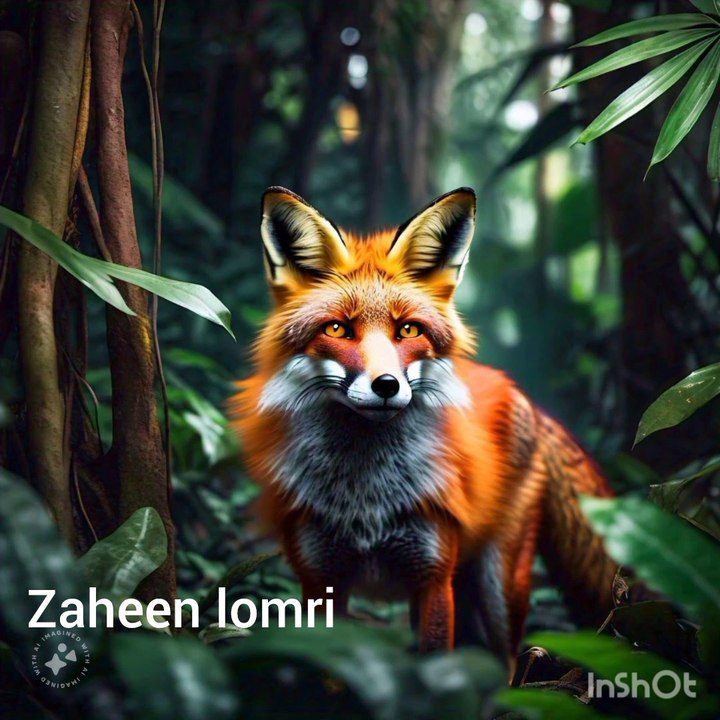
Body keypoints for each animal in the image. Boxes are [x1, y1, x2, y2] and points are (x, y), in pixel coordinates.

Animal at [231, 186, 618, 670]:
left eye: (409, 330)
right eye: (336, 329)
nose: (386, 385)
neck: (366, 501)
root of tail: (517, 391)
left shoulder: (432, 576)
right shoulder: (321, 580)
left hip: (499, 584)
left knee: (507, 662)